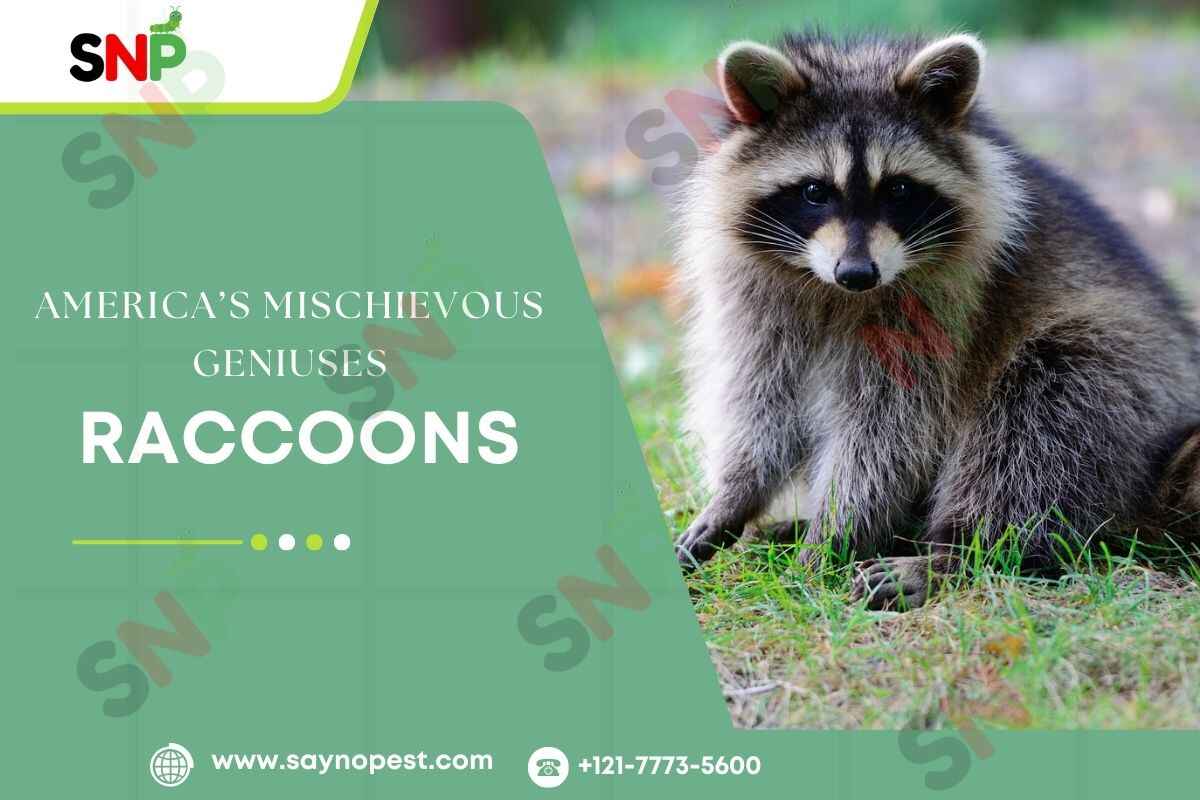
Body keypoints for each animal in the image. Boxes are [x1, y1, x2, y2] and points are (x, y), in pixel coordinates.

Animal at [673, 31, 1200, 609]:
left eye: (899, 190)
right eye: (815, 191)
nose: (857, 273)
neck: (836, 293)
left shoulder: (942, 313)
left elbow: (889, 431)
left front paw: (837, 535)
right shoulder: (757, 298)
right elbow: (760, 399)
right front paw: (736, 494)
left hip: (1127, 373)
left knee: (1039, 422)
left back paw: (959, 555)